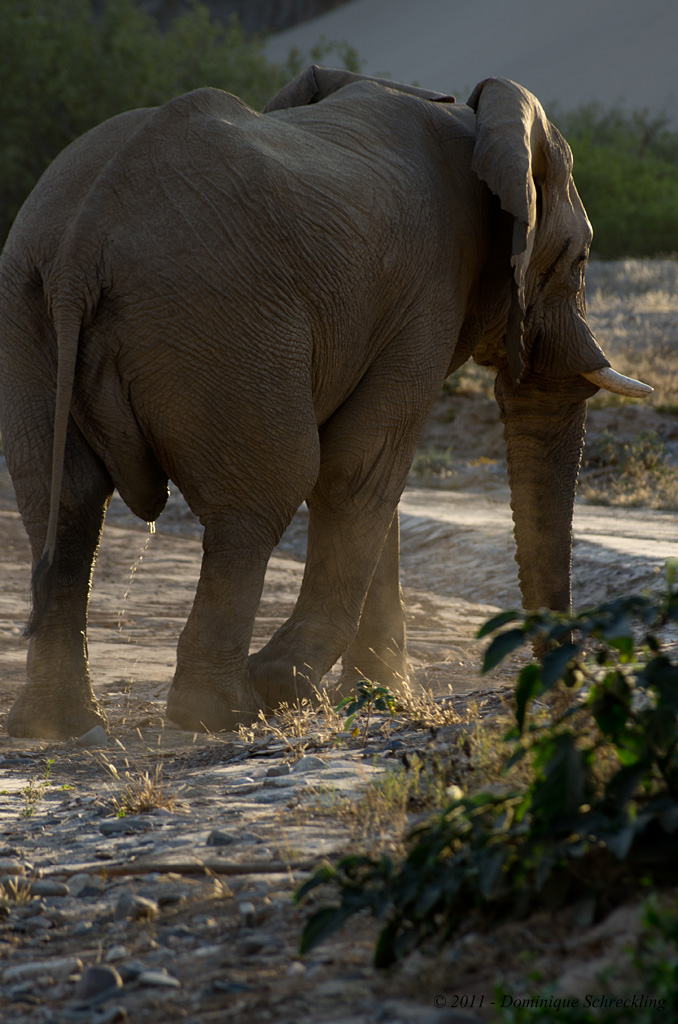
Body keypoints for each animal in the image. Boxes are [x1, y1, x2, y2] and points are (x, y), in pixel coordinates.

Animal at [0, 64, 655, 741]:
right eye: (581, 257)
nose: (567, 691)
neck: (473, 120)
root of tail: (79, 249)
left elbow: (373, 474)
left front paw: (380, 695)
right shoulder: (430, 289)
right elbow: (358, 468)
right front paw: (294, 688)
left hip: (29, 313)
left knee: (67, 500)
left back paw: (58, 726)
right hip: (219, 323)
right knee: (262, 496)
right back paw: (223, 711)